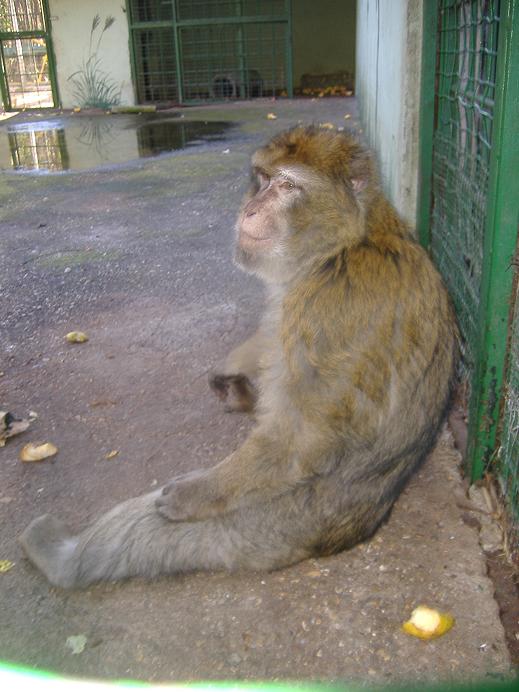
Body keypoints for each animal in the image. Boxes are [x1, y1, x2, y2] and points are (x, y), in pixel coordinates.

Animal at [20, 126, 458, 588]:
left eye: (287, 186)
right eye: (262, 179)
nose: (250, 208)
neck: (346, 243)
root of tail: (353, 530)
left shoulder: (331, 307)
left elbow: (298, 440)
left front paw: (194, 493)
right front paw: (235, 370)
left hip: (276, 522)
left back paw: (60, 558)